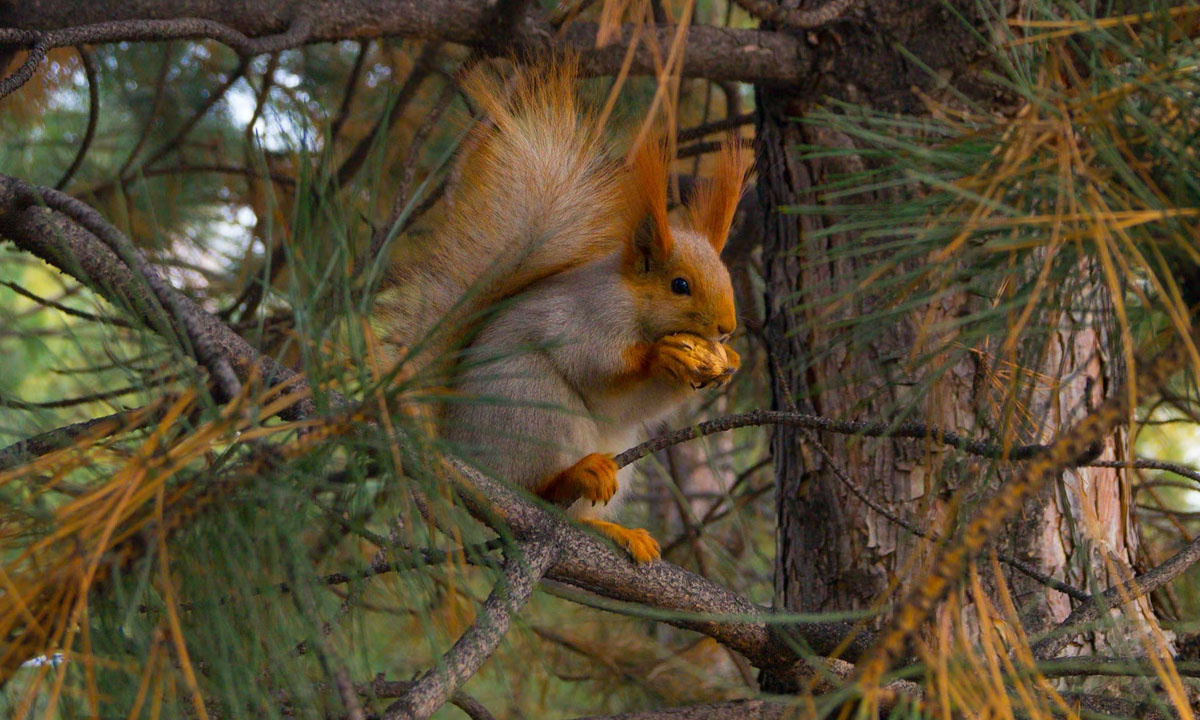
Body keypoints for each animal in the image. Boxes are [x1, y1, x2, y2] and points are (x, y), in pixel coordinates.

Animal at [374, 57, 748, 561]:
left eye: (725, 276)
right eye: (680, 286)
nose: (727, 328)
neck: (635, 305)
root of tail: (463, 451)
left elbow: (640, 405)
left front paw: (730, 361)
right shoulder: (586, 318)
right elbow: (599, 371)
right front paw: (661, 356)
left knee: (575, 514)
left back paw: (616, 530)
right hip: (533, 409)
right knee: (537, 487)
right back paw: (572, 474)